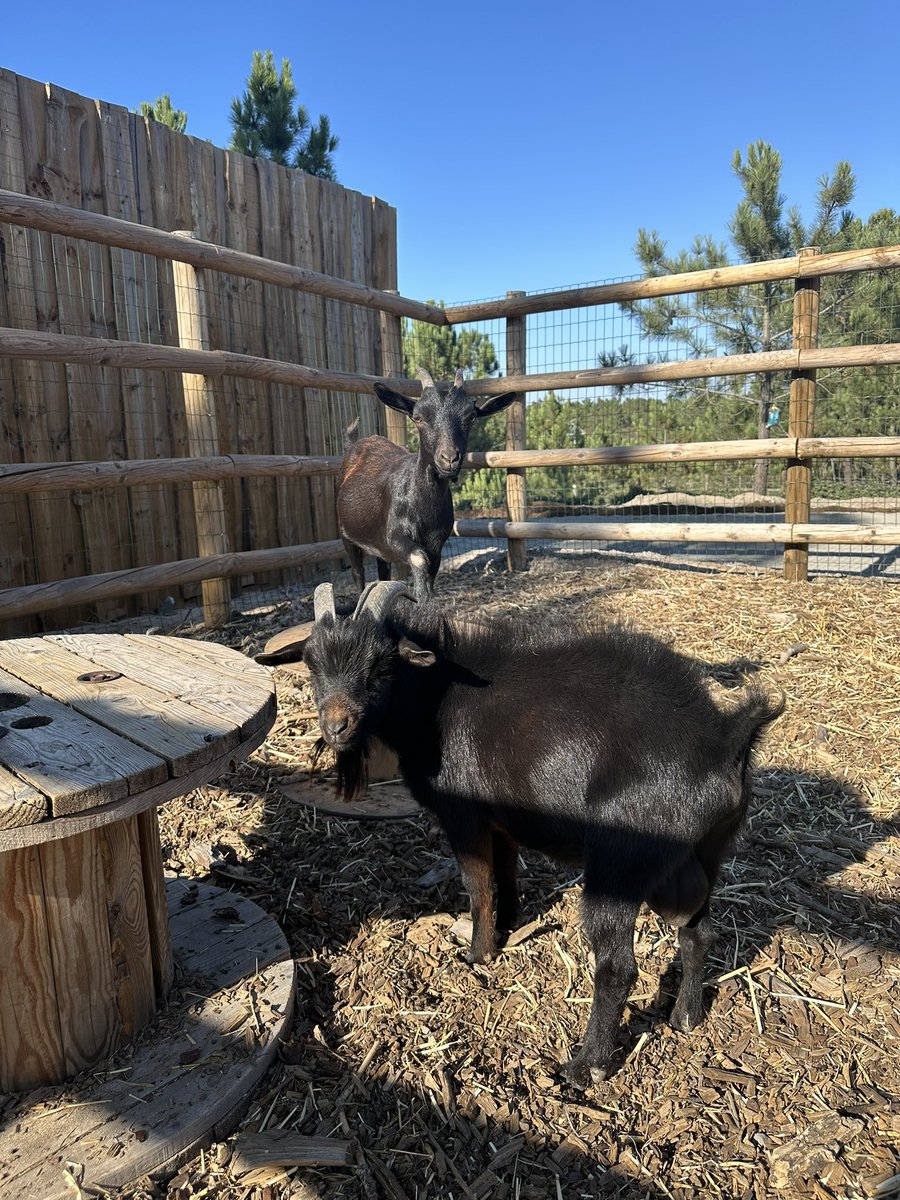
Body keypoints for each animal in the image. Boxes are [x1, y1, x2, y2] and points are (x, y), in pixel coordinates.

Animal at [257, 582, 783, 1086]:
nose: (336, 726)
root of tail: (723, 742)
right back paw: (686, 1017)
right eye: (311, 665)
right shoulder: (502, 818)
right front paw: (509, 927)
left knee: (617, 966)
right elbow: (506, 872)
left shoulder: (464, 817)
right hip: (706, 855)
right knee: (698, 930)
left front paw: (478, 954)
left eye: (381, 665)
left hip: (619, 863)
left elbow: (477, 885)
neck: (437, 699)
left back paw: (584, 1067)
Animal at [336, 367, 517, 602]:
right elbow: (419, 559)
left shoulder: (437, 546)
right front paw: (418, 597)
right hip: (347, 535)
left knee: (383, 571)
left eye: (471, 416)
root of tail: (353, 445)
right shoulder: (394, 537)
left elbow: (431, 577)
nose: (449, 458)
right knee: (357, 573)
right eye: (418, 417)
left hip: (379, 548)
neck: (422, 509)